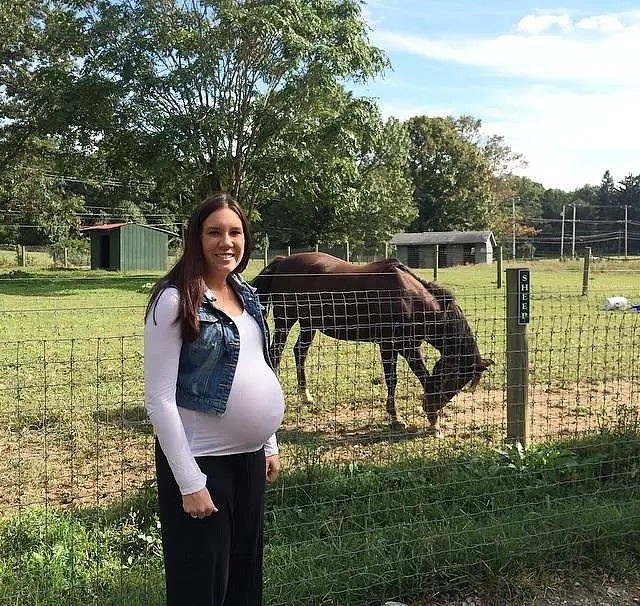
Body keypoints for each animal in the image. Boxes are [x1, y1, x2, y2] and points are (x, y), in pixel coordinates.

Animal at [250, 252, 490, 432]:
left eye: (460, 385)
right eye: (452, 378)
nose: (431, 409)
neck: (410, 299)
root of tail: (282, 261)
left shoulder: (402, 346)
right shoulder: (397, 346)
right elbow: (404, 378)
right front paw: (407, 419)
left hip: (309, 324)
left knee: (300, 352)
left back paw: (306, 396)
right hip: (285, 320)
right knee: (276, 354)